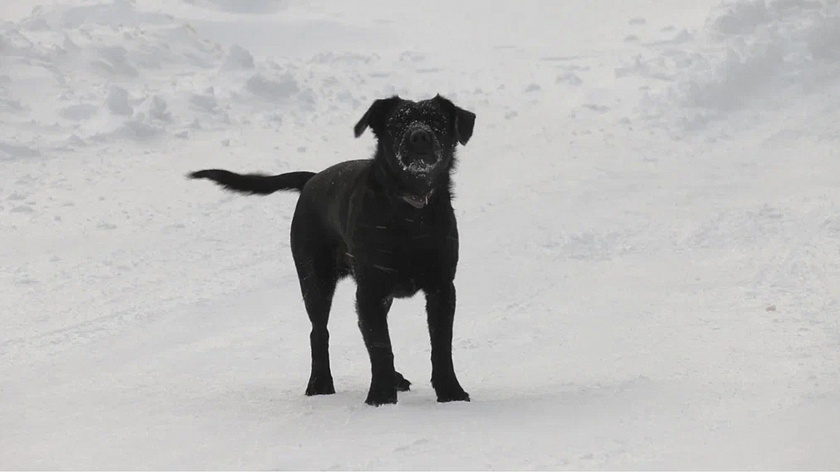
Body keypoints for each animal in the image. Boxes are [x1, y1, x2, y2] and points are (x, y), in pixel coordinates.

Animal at [192, 96, 480, 406]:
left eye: (437, 121)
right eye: (397, 123)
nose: (419, 136)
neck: (409, 212)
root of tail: (311, 179)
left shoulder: (441, 288)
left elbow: (440, 345)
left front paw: (450, 392)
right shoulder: (370, 289)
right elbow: (380, 346)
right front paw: (381, 397)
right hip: (315, 281)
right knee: (319, 332)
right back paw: (320, 383)